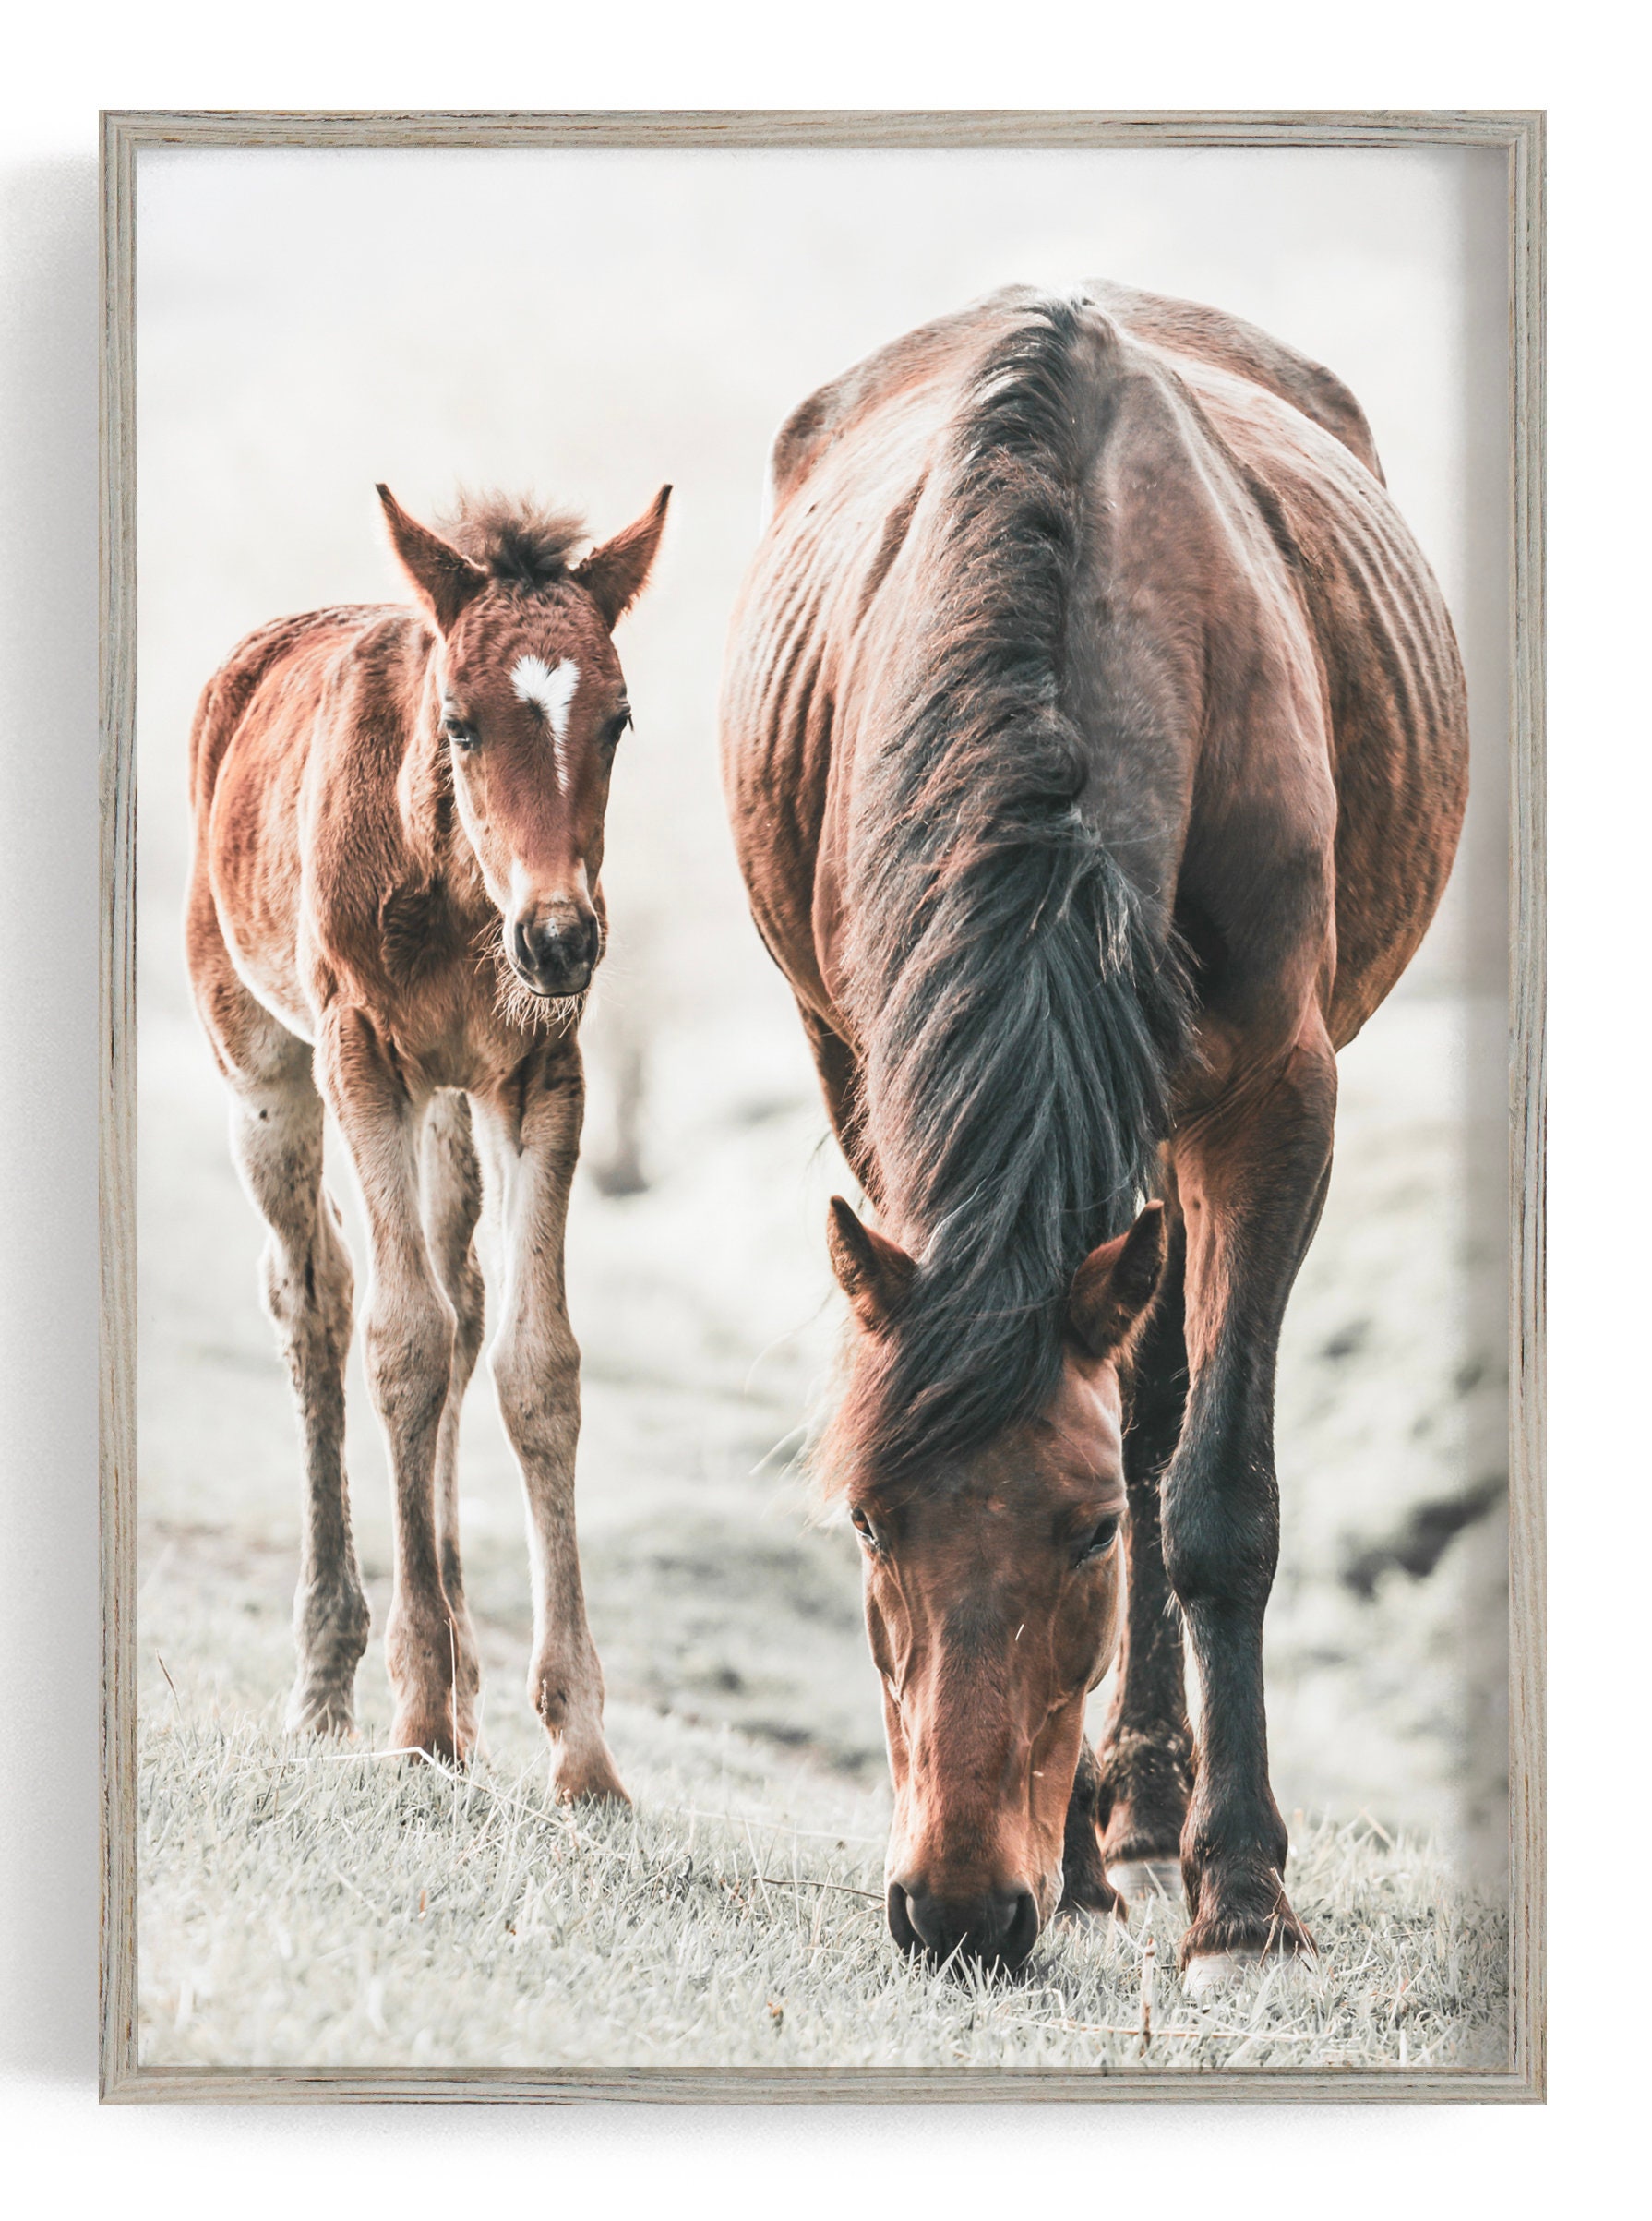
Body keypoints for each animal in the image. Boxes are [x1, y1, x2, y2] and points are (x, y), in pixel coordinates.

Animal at [186, 481, 670, 1796]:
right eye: (458, 722)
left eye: (617, 720)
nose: (560, 941)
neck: (461, 900)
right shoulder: (362, 1058)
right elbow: (398, 1342)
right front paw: (411, 1722)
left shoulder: (538, 1076)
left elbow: (531, 1363)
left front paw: (581, 1755)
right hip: (264, 1070)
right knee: (316, 1300)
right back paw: (332, 1678)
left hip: (451, 1112)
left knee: (460, 1303)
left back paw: (461, 1687)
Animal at [720, 282, 1467, 1990]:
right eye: (868, 1519)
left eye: (1079, 1542)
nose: (954, 1911)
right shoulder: (875, 1079)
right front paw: (1073, 1858)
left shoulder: (1274, 1103)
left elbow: (1210, 1494)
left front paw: (1241, 1893)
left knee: (1162, 1410)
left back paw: (1159, 1810)